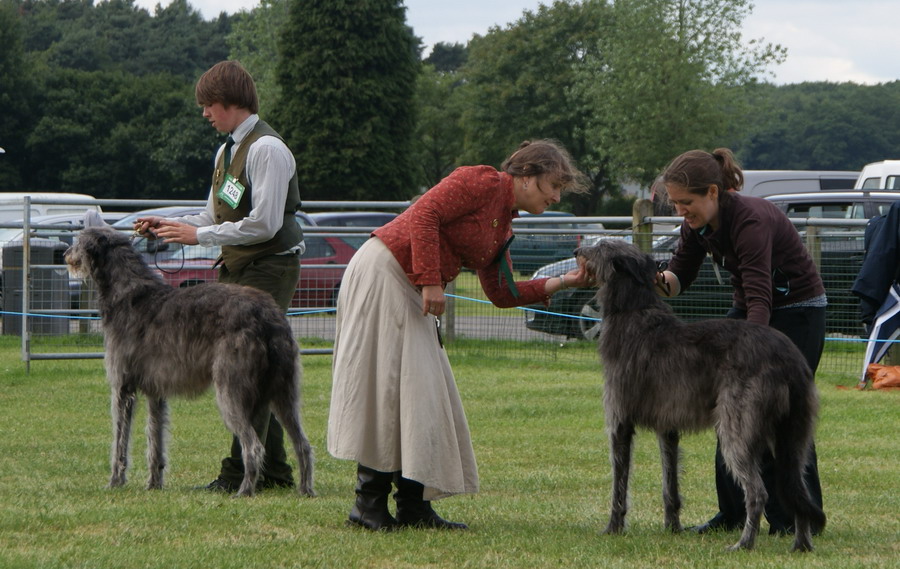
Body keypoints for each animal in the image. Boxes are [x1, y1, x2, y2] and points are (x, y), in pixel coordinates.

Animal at [66, 224, 312, 494]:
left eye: (79, 241)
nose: (65, 254)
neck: (128, 293)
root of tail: (268, 315)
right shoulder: (156, 392)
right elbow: (155, 439)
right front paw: (154, 484)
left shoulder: (123, 388)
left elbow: (120, 441)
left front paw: (115, 481)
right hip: (282, 391)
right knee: (302, 443)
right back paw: (305, 489)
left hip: (231, 389)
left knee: (254, 446)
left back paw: (245, 491)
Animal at [580, 239, 828, 552]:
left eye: (599, 246)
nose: (576, 252)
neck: (632, 309)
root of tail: (789, 359)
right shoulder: (668, 428)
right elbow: (670, 485)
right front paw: (673, 528)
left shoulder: (620, 422)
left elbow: (619, 485)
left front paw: (613, 528)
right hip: (792, 436)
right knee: (797, 487)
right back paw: (801, 545)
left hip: (737, 429)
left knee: (758, 492)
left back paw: (744, 544)